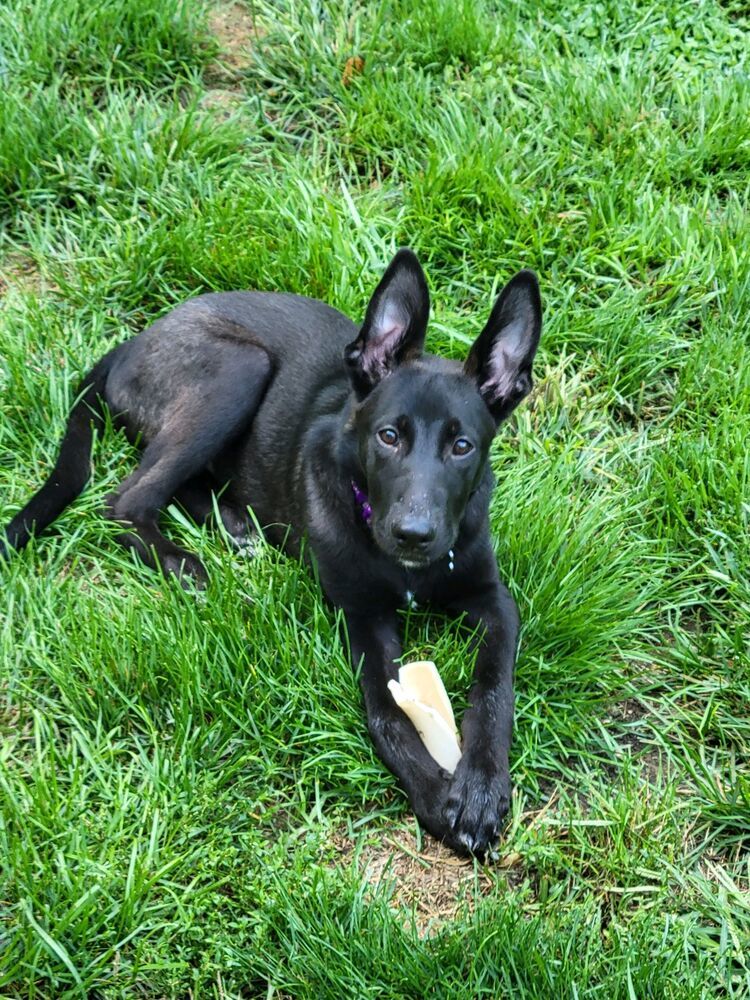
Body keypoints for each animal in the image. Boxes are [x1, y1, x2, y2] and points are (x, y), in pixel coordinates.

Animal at [0, 250, 540, 852]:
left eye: (462, 446)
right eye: (388, 436)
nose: (413, 535)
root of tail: (137, 340)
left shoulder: (494, 599)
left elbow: (495, 691)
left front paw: (481, 787)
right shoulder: (362, 617)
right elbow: (387, 714)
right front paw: (432, 795)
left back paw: (237, 526)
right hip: (239, 368)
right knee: (127, 499)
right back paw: (185, 563)